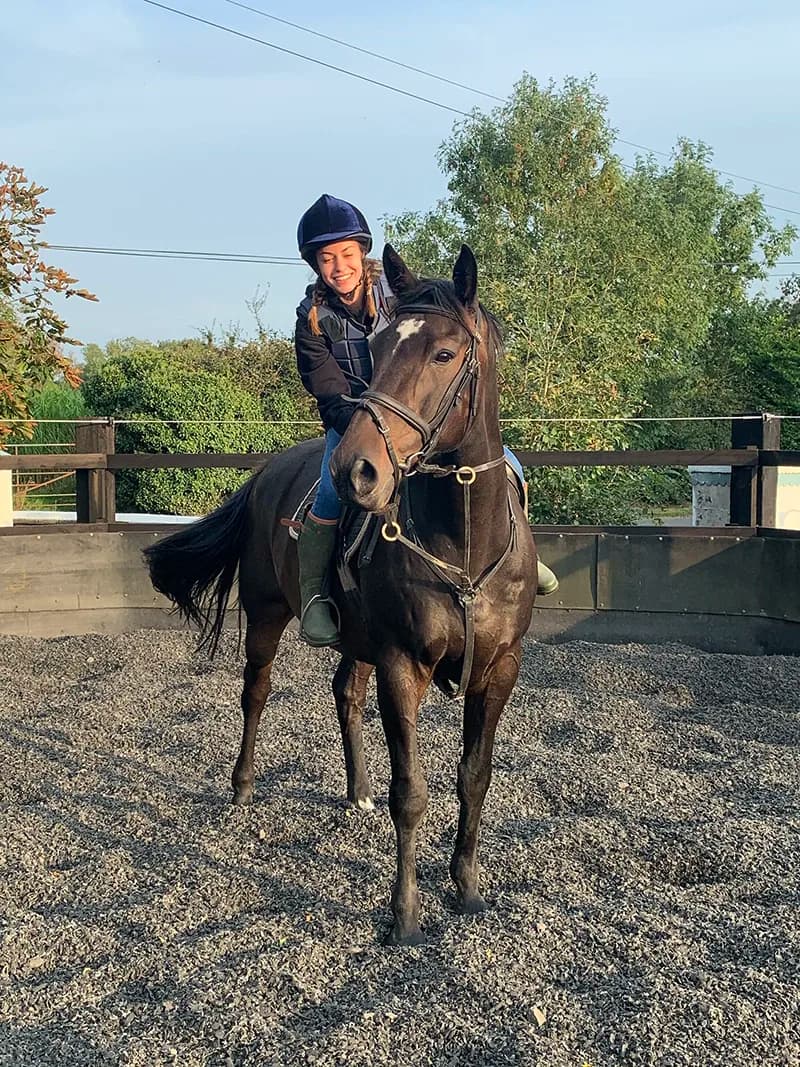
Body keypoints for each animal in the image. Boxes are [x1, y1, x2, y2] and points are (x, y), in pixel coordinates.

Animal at [144, 243, 538, 945]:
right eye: (375, 351)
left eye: (444, 353)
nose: (356, 471)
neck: (463, 541)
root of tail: (264, 474)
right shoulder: (401, 665)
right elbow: (411, 793)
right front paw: (404, 916)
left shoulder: (500, 669)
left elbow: (474, 778)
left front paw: (465, 889)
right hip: (268, 615)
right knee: (255, 693)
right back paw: (243, 787)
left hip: (357, 640)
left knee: (343, 694)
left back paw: (356, 790)